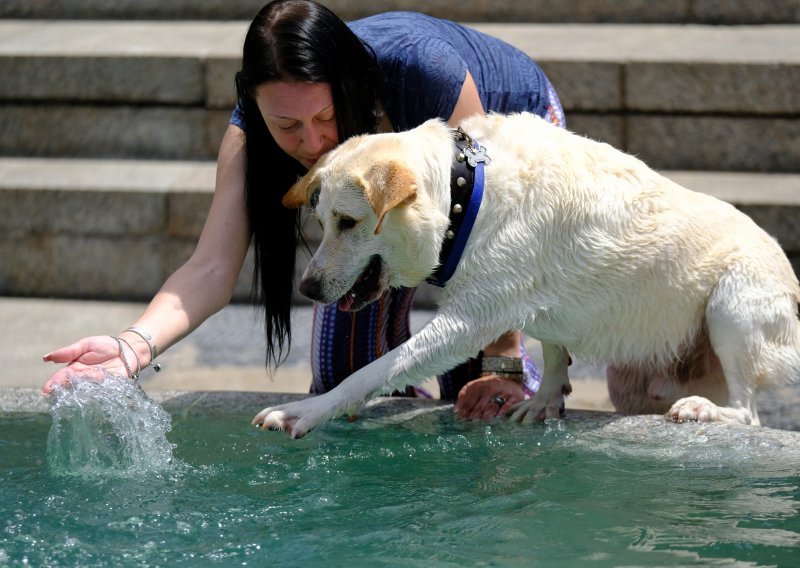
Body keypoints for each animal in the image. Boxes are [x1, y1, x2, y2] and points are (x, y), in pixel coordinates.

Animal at [252, 112, 800, 440]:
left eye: (347, 222)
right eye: (321, 222)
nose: (307, 289)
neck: (466, 191)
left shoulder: (466, 323)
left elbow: (373, 371)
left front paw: (307, 411)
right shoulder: (536, 304)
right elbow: (555, 351)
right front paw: (544, 401)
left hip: (732, 306)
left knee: (749, 412)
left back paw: (703, 411)